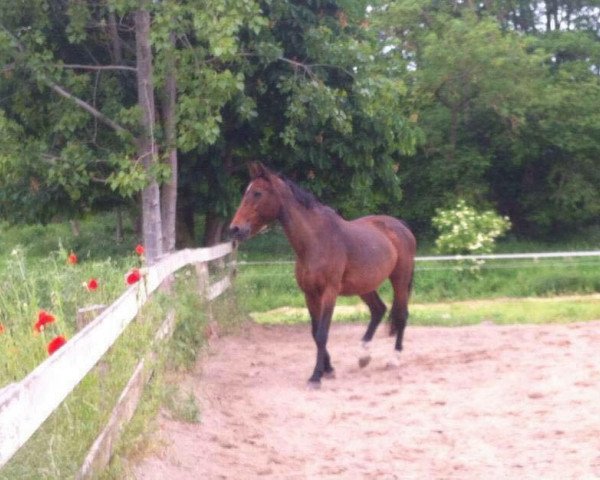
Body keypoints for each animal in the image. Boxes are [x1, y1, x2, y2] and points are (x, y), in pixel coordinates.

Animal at [230, 162, 418, 386]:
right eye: (246, 192)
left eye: (257, 193)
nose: (235, 229)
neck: (315, 242)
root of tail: (402, 227)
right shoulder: (310, 294)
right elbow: (314, 331)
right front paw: (328, 369)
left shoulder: (329, 292)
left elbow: (322, 333)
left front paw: (316, 376)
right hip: (364, 286)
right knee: (378, 310)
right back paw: (363, 356)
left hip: (400, 280)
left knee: (402, 315)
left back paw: (394, 359)